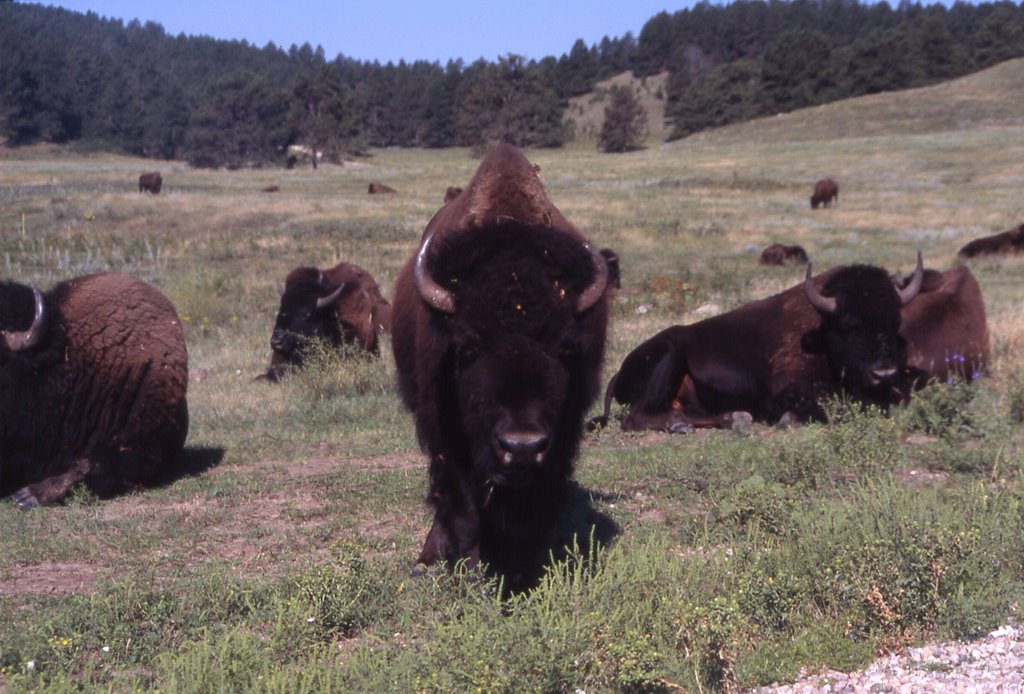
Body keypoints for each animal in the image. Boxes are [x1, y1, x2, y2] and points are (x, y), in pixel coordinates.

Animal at [393, 144, 610, 585]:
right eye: (467, 346)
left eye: (565, 347)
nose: (521, 446)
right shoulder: (447, 432)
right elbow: (463, 507)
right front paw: (472, 569)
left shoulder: (563, 433)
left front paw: (526, 569)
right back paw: (428, 558)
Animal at [593, 253, 929, 429]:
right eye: (850, 325)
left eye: (895, 321)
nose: (883, 372)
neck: (821, 332)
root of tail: (619, 372)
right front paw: (787, 419)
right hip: (670, 353)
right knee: (637, 417)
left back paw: (732, 417)